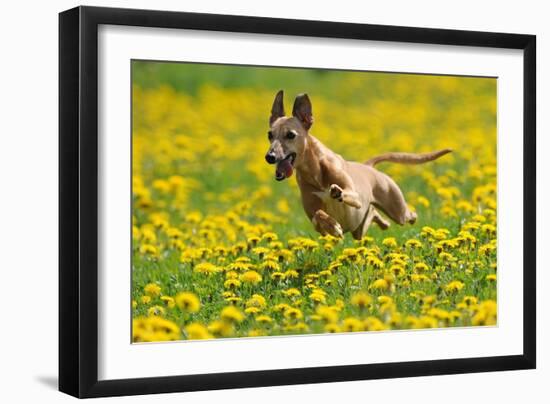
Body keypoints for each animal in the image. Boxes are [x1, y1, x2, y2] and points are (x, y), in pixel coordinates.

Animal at [266, 90, 452, 240]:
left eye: (290, 135)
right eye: (269, 134)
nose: (269, 157)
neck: (314, 171)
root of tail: (368, 166)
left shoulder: (355, 196)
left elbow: (346, 193)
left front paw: (337, 193)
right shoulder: (313, 216)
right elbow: (318, 216)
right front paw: (333, 226)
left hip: (398, 211)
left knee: (409, 215)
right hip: (359, 230)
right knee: (374, 215)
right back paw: (381, 222)